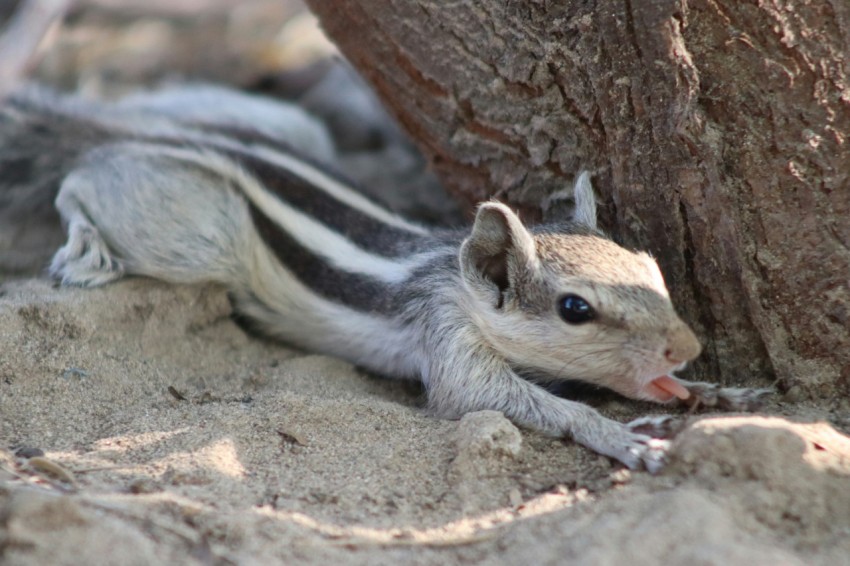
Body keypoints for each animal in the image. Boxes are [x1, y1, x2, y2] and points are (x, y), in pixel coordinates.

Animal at [0, 85, 770, 471]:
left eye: (651, 269)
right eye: (575, 309)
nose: (687, 347)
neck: (453, 277)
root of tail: (158, 134)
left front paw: (716, 391)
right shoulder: (447, 336)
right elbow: (494, 398)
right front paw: (623, 437)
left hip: (285, 125)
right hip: (196, 234)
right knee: (81, 179)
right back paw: (85, 248)